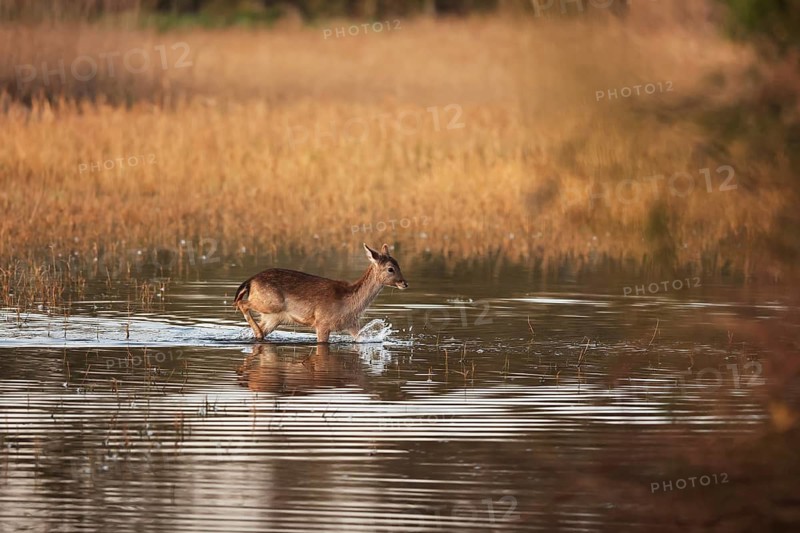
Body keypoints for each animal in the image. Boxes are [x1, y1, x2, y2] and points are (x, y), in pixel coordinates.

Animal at [233, 243, 408, 343]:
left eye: (399, 264)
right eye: (390, 269)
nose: (404, 283)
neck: (349, 305)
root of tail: (250, 281)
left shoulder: (352, 324)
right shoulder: (322, 322)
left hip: (273, 317)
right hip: (270, 303)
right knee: (241, 302)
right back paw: (257, 331)